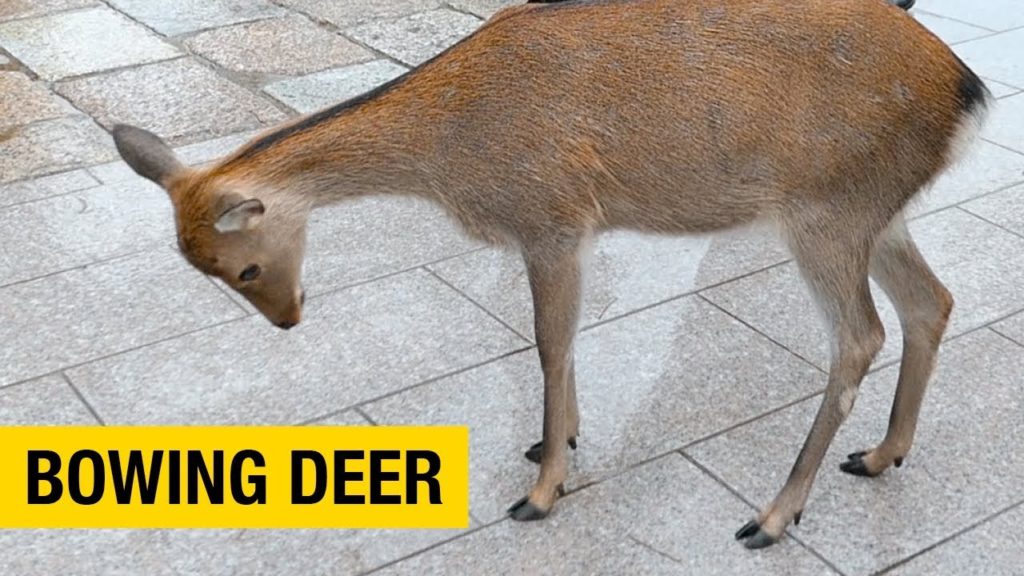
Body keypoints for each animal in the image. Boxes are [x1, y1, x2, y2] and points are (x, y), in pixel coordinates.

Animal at [112, 0, 989, 549]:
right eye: (205, 270)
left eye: (245, 265)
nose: (289, 319)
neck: (447, 149)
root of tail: (967, 91)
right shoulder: (562, 233)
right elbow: (558, 345)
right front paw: (554, 440)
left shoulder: (552, 218)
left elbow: (548, 341)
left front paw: (541, 491)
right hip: (877, 210)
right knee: (932, 302)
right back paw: (880, 455)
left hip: (825, 209)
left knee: (860, 336)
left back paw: (771, 518)